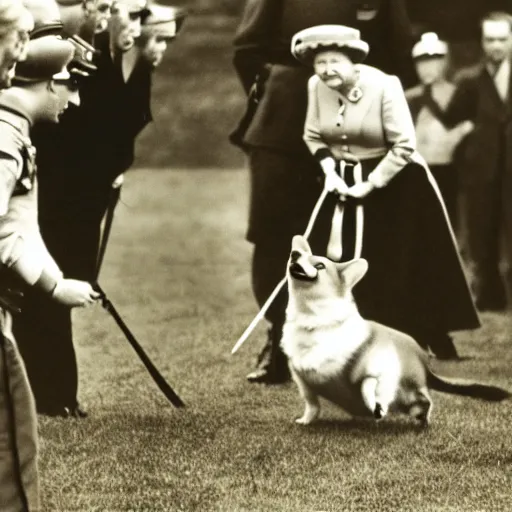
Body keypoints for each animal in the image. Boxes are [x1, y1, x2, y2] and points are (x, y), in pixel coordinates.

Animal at [282, 236, 510, 428]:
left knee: (424, 401)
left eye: (320, 265)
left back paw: (420, 420)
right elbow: (312, 404)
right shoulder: (303, 382)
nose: (294, 254)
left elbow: (367, 385)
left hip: (409, 391)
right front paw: (305, 421)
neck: (313, 320)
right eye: (298, 255)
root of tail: (425, 364)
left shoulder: (381, 367)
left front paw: (376, 405)